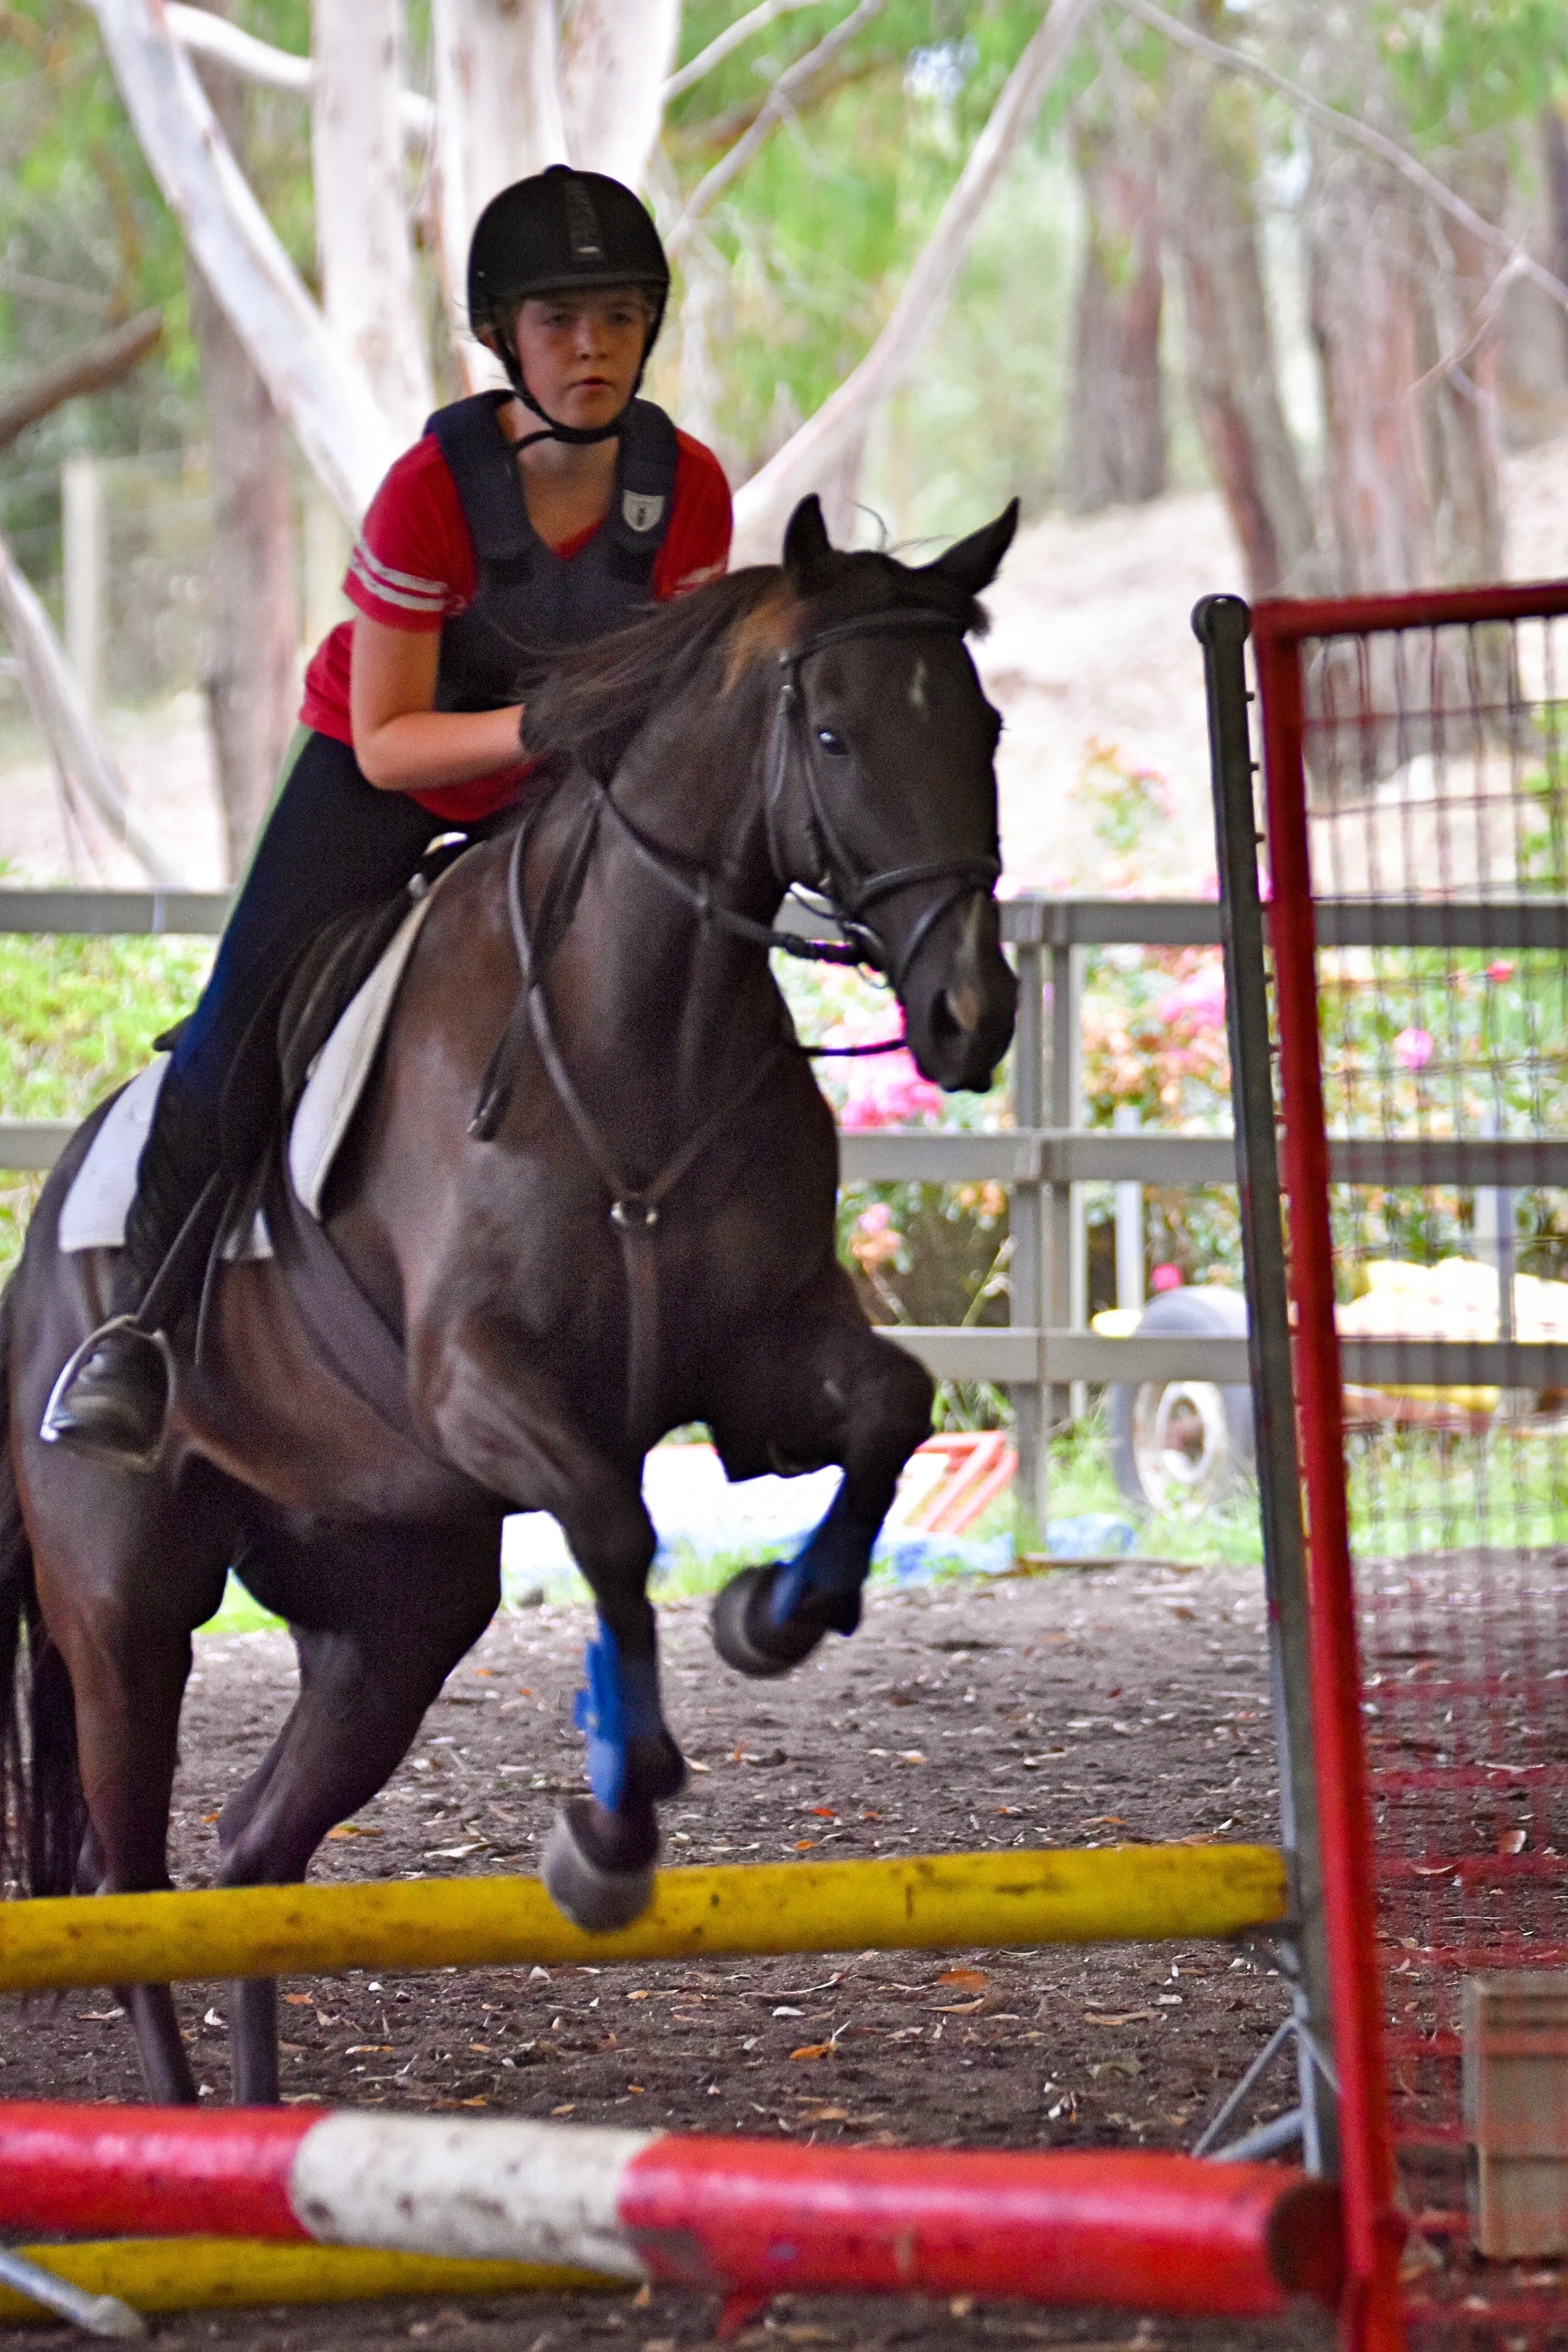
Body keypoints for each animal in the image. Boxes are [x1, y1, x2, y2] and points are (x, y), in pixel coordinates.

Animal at [0, 491, 1020, 2098]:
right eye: (835, 735)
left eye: (980, 725)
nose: (970, 1014)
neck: (636, 1028)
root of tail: (39, 1252)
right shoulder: (478, 1377)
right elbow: (611, 1521)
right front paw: (615, 1824)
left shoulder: (762, 1358)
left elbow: (891, 1411)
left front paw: (775, 1613)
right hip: (122, 1615)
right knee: (129, 1878)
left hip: (395, 1612)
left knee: (251, 1850)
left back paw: (260, 2131)